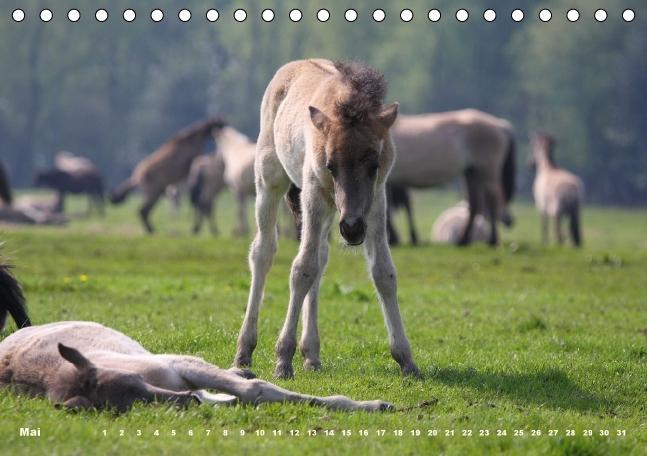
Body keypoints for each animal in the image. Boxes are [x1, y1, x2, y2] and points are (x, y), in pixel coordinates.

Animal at [0, 264, 390, 414]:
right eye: (132, 406)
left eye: (135, 384)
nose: (188, 401)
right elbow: (247, 396)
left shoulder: (181, 364)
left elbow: (255, 389)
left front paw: (372, 404)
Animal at [233, 58, 420, 380]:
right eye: (331, 165)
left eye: (374, 163)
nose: (352, 229)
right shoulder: (312, 196)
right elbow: (302, 269)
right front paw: (283, 359)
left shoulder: (376, 202)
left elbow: (383, 272)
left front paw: (405, 358)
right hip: (270, 182)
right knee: (263, 252)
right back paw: (245, 349)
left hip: (331, 211)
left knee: (321, 256)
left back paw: (312, 354)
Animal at [384, 108, 516, 246]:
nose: (510, 220)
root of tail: (501, 126)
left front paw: (395, 238)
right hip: (472, 173)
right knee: (475, 204)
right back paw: (464, 240)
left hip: (487, 171)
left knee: (491, 201)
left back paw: (492, 240)